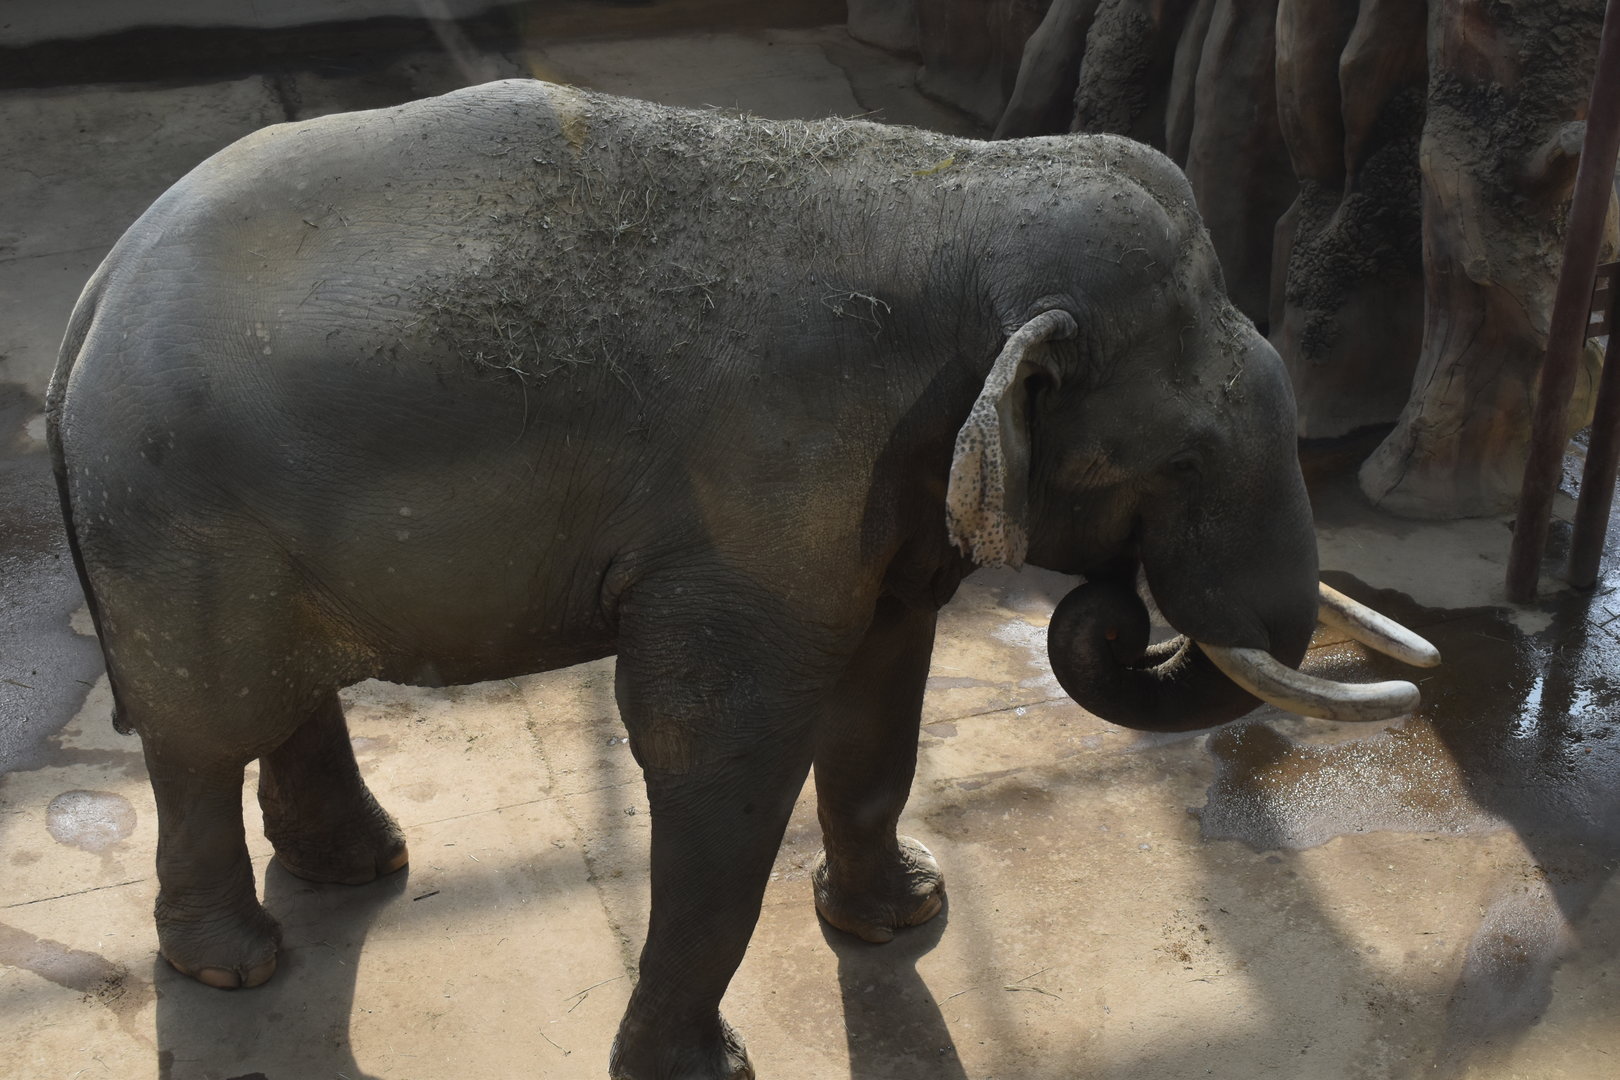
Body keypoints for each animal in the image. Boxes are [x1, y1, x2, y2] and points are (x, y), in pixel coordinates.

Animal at [47, 79, 1437, 1079]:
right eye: (1183, 460)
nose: (1117, 608)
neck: (950, 195)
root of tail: (96, 288)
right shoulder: (763, 488)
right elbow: (721, 744)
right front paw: (701, 1071)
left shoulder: (873, 491)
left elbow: (883, 696)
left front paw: (906, 917)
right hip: (175, 521)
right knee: (199, 734)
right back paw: (236, 967)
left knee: (275, 698)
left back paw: (361, 867)